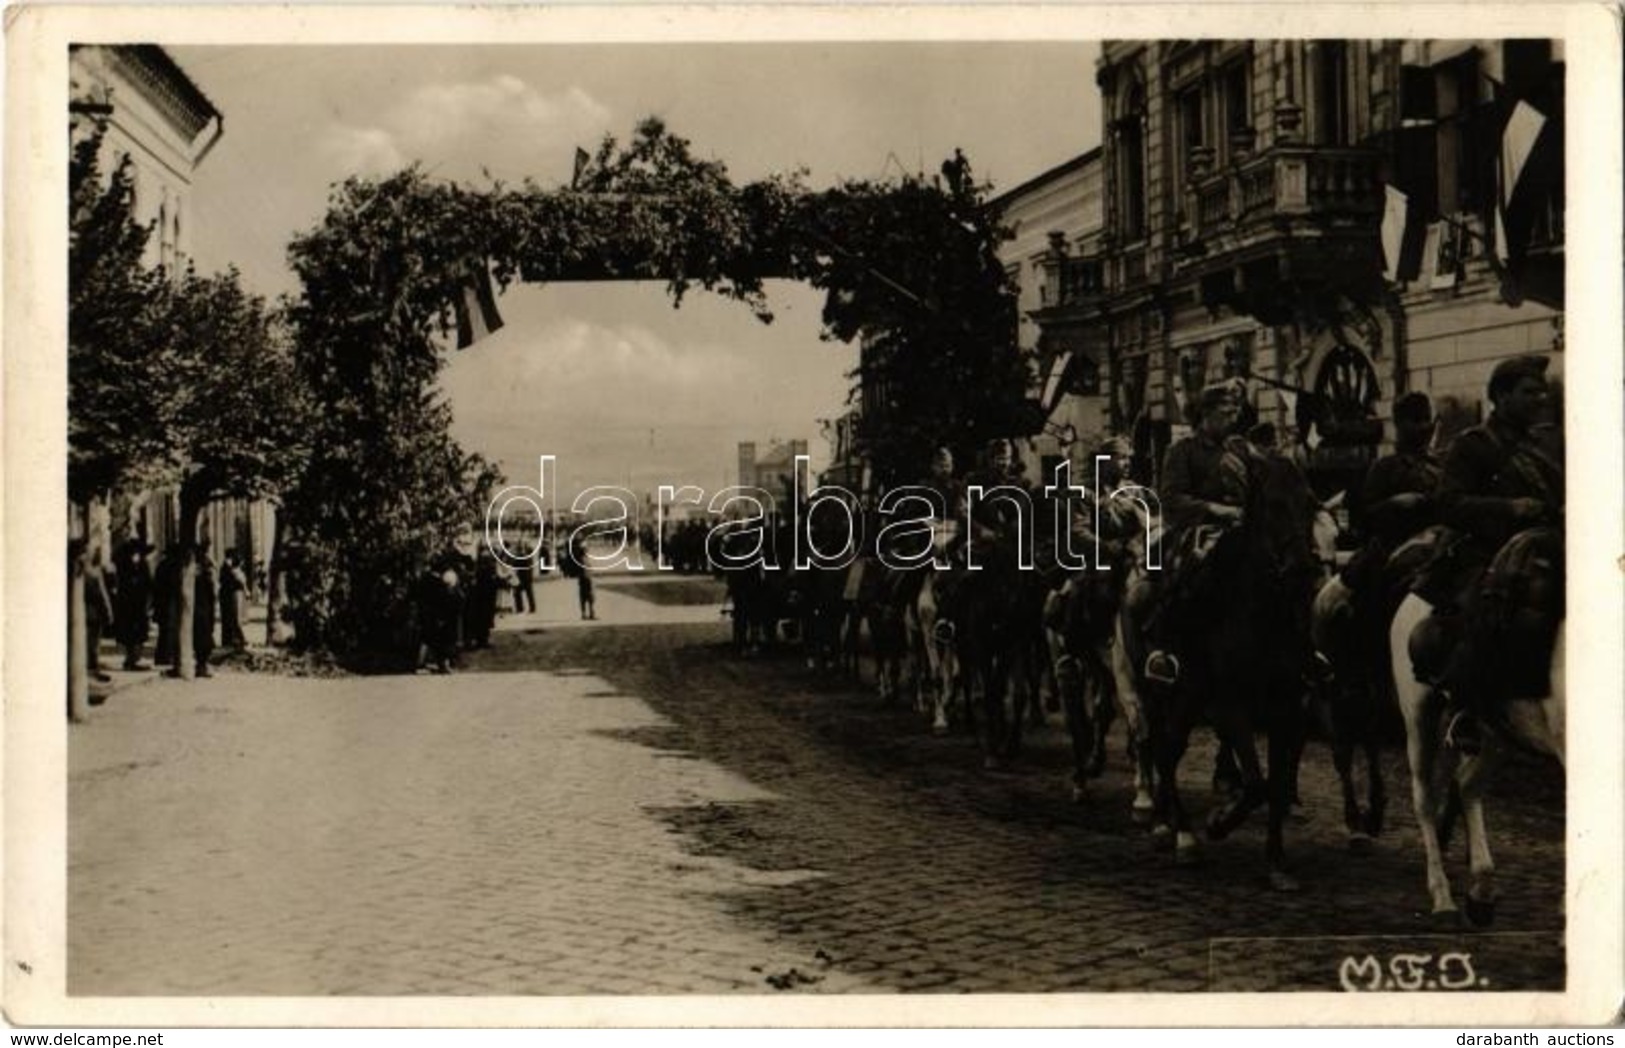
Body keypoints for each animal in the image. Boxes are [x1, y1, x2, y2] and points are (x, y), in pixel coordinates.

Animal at [1384, 526, 1560, 922]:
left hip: (1497, 734)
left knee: (1466, 785)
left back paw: (1481, 890)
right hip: (1418, 717)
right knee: (1424, 799)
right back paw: (1442, 896)